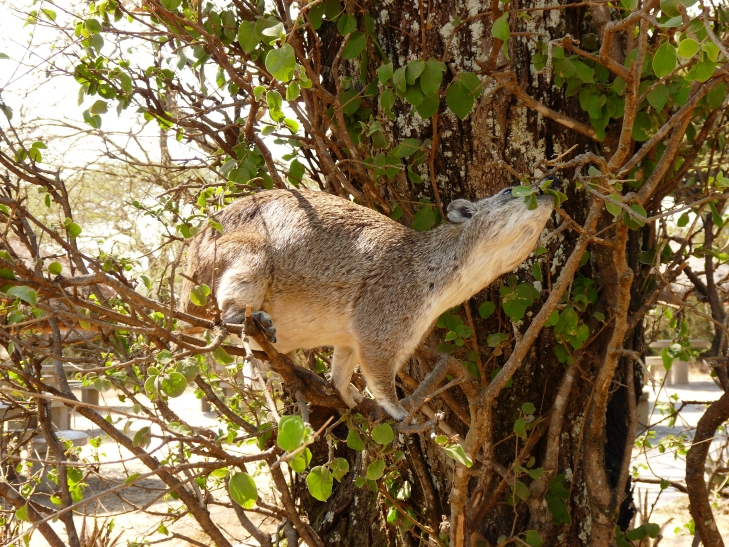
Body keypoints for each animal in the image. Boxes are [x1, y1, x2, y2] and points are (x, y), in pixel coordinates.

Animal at [181, 179, 561, 420]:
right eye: (510, 190)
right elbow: (380, 374)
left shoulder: (354, 336)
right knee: (229, 307)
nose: (551, 183)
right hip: (246, 255)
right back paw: (252, 321)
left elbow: (342, 367)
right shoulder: (384, 316)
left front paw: (348, 395)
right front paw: (399, 410)